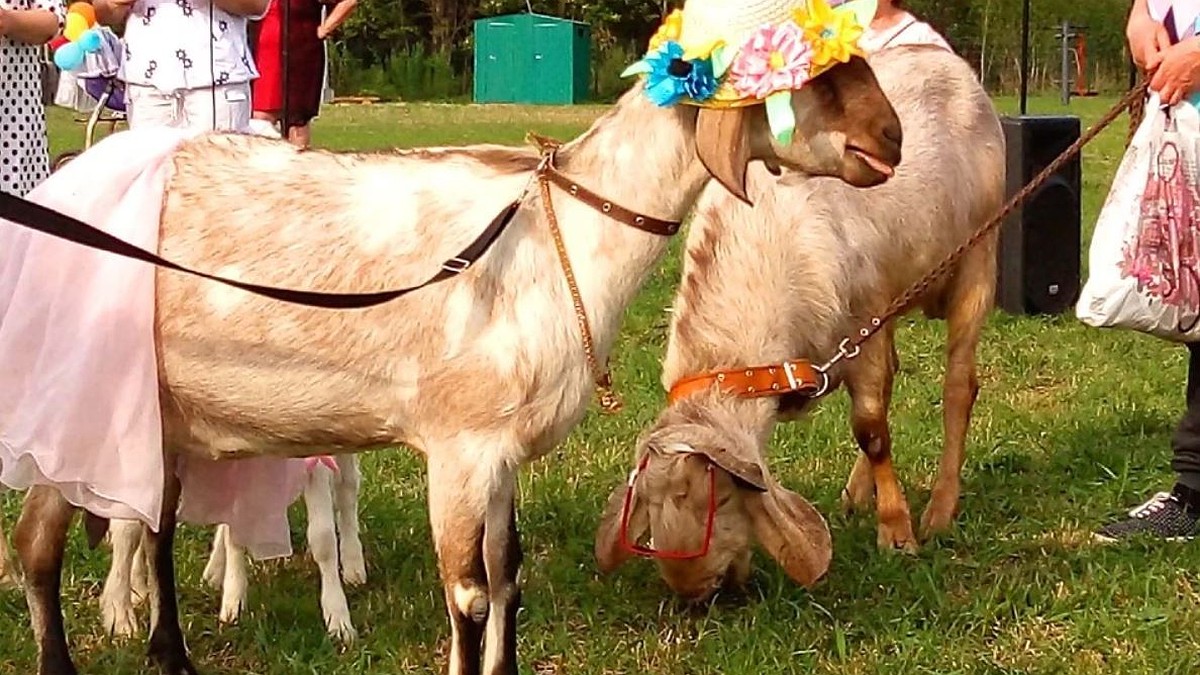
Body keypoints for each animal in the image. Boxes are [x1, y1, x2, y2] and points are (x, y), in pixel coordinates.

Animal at [595, 47, 1008, 598]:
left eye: (718, 498)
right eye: (651, 508)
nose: (695, 593)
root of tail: (948, 59)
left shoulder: (865, 318)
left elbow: (871, 428)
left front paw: (897, 533)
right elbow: (876, 415)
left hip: (978, 258)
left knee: (960, 387)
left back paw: (940, 509)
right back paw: (858, 493)